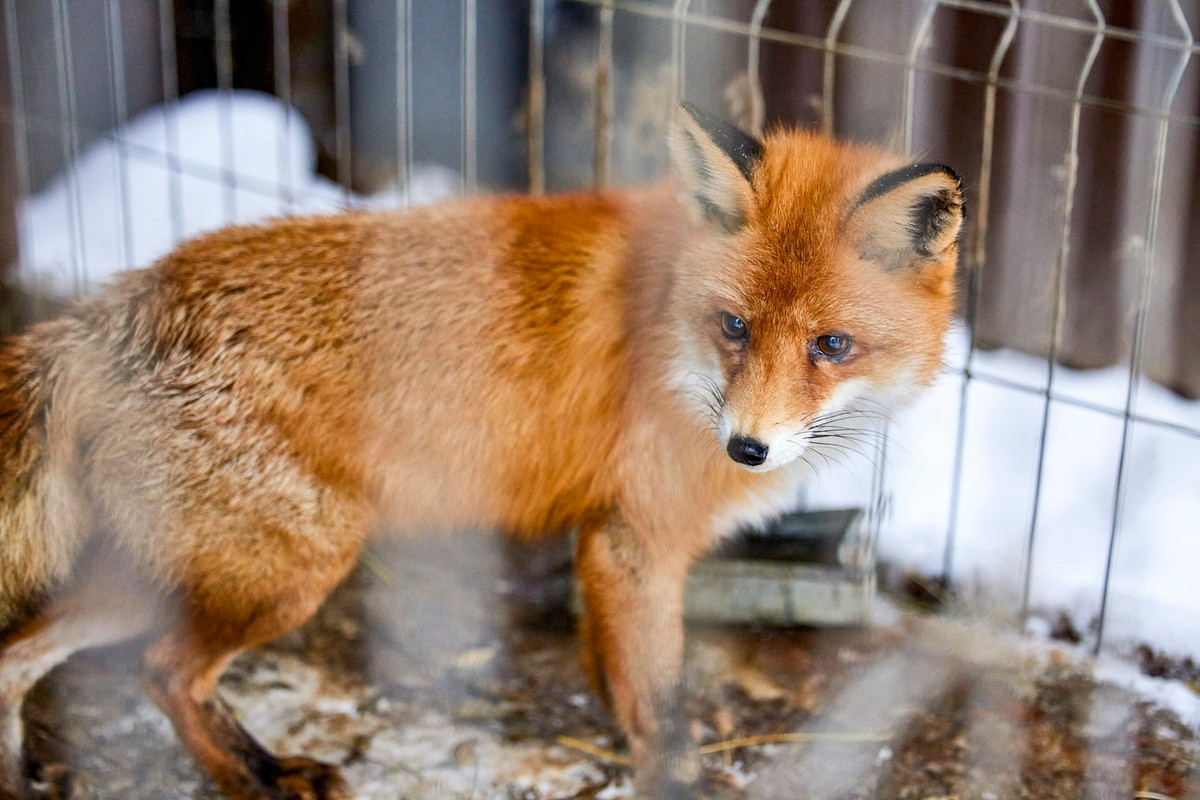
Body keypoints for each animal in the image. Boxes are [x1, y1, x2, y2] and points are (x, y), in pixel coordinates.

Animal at [0, 103, 960, 796]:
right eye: (734, 327)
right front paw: (674, 775)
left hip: (172, 574)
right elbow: (661, 702)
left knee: (20, 658)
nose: (748, 448)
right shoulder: (638, 541)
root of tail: (107, 311)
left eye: (831, 346)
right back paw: (259, 776)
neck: (671, 338)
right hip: (287, 572)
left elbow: (617, 677)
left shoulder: (603, 544)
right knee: (162, 673)